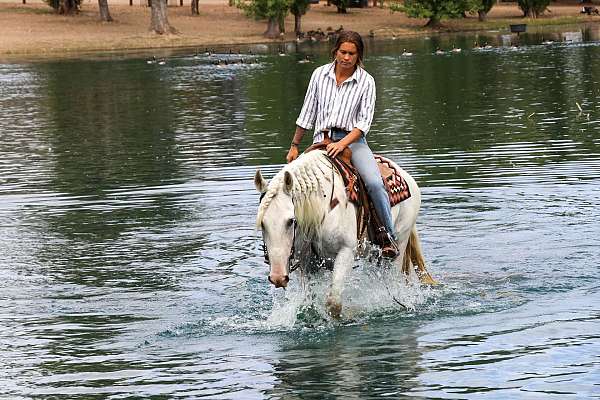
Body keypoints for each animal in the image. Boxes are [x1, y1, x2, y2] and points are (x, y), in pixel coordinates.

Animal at [255, 149, 434, 316]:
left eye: (291, 221)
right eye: (262, 224)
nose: (278, 277)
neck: (322, 206)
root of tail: (407, 177)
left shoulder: (346, 251)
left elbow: (334, 303)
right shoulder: (307, 264)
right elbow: (309, 301)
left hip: (399, 245)